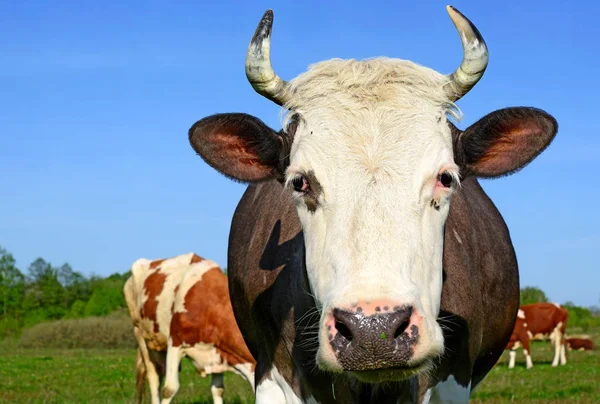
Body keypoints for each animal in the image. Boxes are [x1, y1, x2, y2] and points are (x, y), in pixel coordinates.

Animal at [124, 252, 255, 404]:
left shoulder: (218, 353)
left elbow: (218, 389)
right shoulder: (175, 342)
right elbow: (169, 389)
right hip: (140, 334)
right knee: (153, 378)